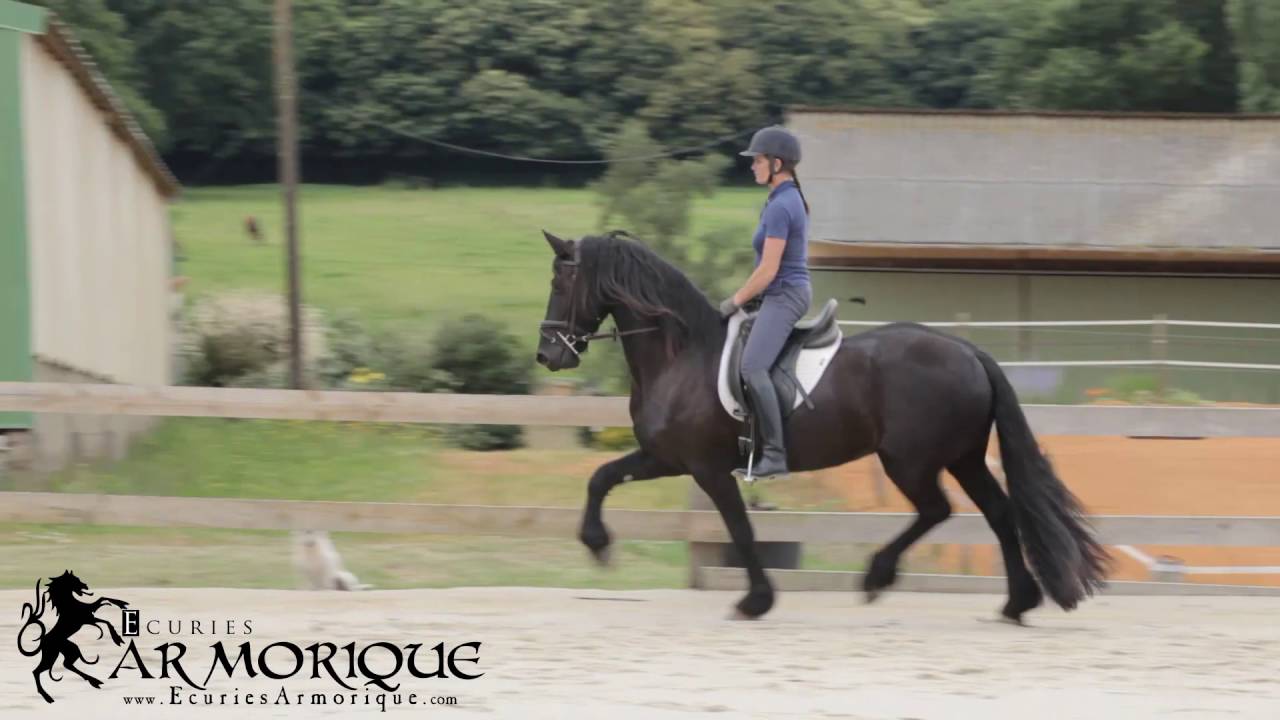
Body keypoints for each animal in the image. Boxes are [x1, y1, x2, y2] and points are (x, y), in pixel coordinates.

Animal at [534, 230, 1108, 623]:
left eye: (562, 281)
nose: (547, 355)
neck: (682, 355)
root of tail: (969, 351)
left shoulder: (706, 468)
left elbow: (740, 529)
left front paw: (756, 600)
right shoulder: (667, 458)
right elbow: (601, 478)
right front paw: (597, 544)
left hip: (911, 460)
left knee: (937, 510)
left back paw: (877, 576)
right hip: (962, 457)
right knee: (998, 512)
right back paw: (1016, 603)